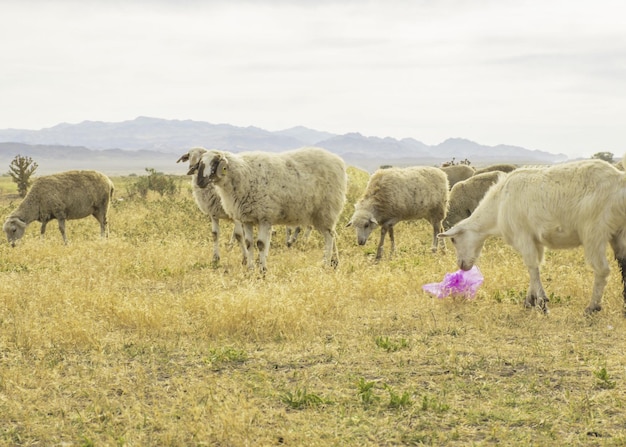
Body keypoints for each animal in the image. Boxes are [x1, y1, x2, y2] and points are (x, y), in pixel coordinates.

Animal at [190, 147, 346, 272]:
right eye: (200, 163)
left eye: (215, 163)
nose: (200, 182)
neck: (242, 173)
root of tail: (339, 161)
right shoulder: (247, 218)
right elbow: (249, 243)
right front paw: (250, 269)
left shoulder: (265, 217)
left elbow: (261, 244)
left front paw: (263, 271)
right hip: (322, 215)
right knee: (333, 234)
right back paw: (334, 262)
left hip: (326, 210)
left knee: (329, 237)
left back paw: (326, 263)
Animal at [436, 158, 626, 316]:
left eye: (453, 239)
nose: (461, 265)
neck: (498, 207)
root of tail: (619, 181)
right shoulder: (536, 241)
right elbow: (536, 266)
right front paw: (530, 300)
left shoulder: (523, 236)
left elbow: (531, 266)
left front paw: (541, 303)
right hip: (619, 232)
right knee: (623, 262)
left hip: (594, 232)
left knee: (602, 269)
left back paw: (592, 307)